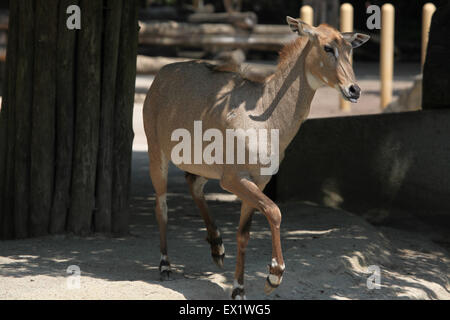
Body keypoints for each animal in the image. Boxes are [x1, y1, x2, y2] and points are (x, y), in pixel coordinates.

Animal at [144, 16, 370, 298]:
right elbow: (274, 211)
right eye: (328, 47)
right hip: (157, 152)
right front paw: (274, 276)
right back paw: (165, 265)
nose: (354, 89)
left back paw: (217, 247)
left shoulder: (257, 181)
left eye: (350, 50)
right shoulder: (234, 179)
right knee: (161, 205)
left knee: (193, 184)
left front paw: (238, 288)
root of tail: (160, 75)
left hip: (203, 165)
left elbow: (244, 233)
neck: (266, 117)